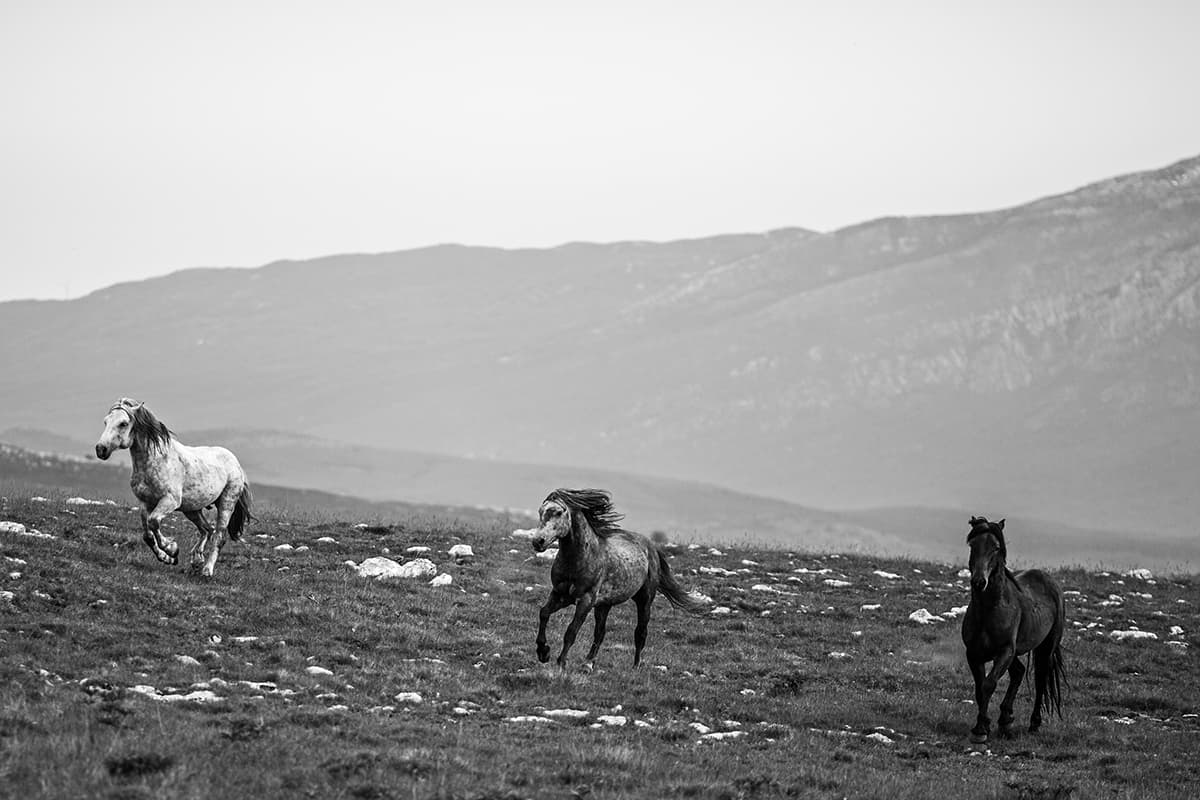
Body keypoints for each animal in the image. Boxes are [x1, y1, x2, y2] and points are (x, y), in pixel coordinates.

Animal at [94, 398, 253, 578]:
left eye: (123, 423)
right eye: (106, 421)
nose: (101, 449)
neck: (154, 461)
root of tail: (235, 463)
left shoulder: (169, 500)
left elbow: (154, 522)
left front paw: (172, 549)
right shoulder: (145, 502)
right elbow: (147, 535)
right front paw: (168, 558)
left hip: (226, 503)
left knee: (219, 535)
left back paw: (207, 570)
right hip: (191, 509)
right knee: (206, 529)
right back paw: (196, 560)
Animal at [531, 488, 709, 670]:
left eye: (559, 512)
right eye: (540, 511)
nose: (538, 542)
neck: (580, 558)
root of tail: (651, 547)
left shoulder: (585, 600)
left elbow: (571, 631)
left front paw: (561, 663)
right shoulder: (560, 594)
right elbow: (543, 613)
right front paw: (543, 652)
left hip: (644, 600)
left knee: (640, 632)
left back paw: (635, 667)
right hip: (604, 604)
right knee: (600, 632)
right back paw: (588, 664)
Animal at [961, 516, 1066, 743]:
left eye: (996, 547)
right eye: (972, 545)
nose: (979, 581)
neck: (988, 611)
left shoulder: (1004, 651)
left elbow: (988, 684)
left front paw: (981, 730)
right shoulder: (974, 654)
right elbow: (979, 689)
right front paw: (983, 725)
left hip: (1045, 648)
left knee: (1040, 679)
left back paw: (1034, 724)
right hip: (1015, 652)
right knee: (1019, 672)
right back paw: (1005, 719)